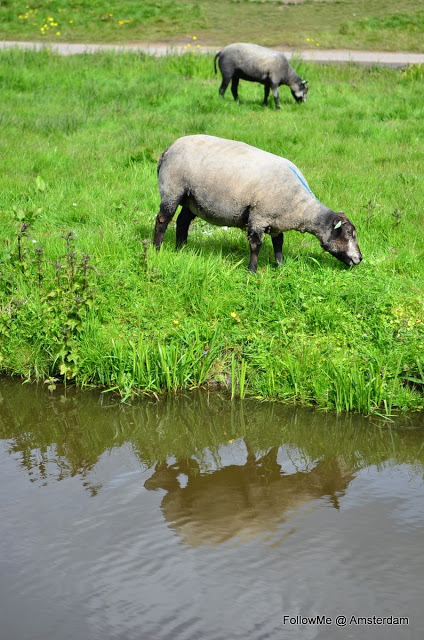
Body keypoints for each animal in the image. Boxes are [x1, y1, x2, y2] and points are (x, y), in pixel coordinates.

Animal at [152, 136, 362, 272]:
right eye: (348, 234)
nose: (360, 258)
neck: (300, 207)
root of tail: (168, 149)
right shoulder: (258, 216)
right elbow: (256, 245)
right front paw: (252, 270)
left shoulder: (277, 221)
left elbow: (278, 243)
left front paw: (280, 266)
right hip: (172, 189)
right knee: (163, 220)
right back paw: (156, 249)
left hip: (193, 198)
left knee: (182, 221)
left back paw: (181, 249)